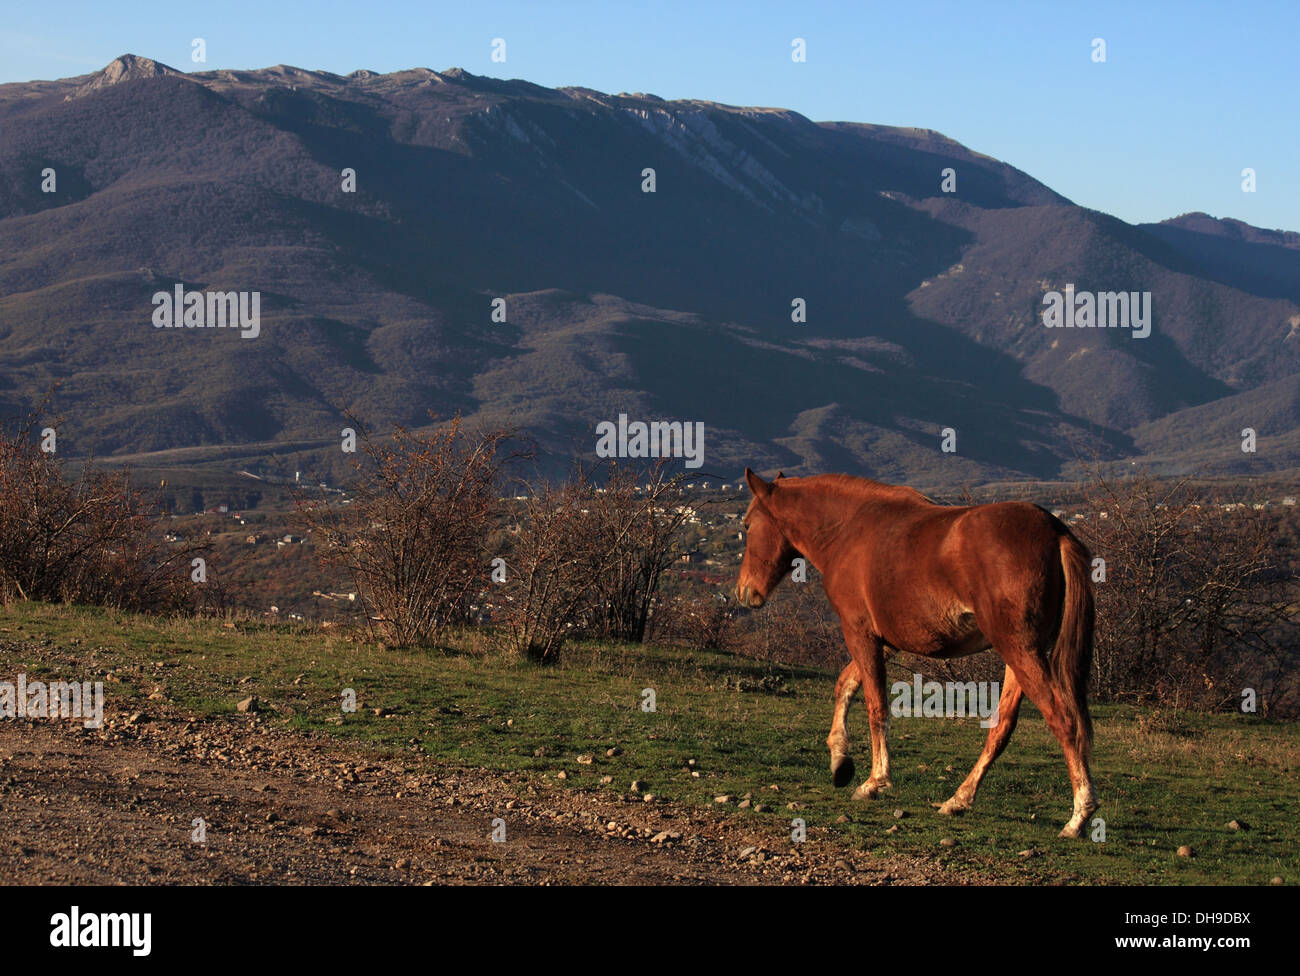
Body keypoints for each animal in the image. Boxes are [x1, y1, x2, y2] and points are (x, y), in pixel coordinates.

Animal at [738, 470, 1092, 836]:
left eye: (748, 525)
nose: (744, 591)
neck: (849, 529)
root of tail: (1056, 533)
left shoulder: (860, 632)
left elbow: (875, 705)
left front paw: (874, 781)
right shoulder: (885, 641)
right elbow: (845, 685)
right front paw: (840, 760)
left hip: (1021, 651)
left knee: (1063, 720)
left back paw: (1079, 816)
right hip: (1019, 655)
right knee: (1002, 726)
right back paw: (959, 799)